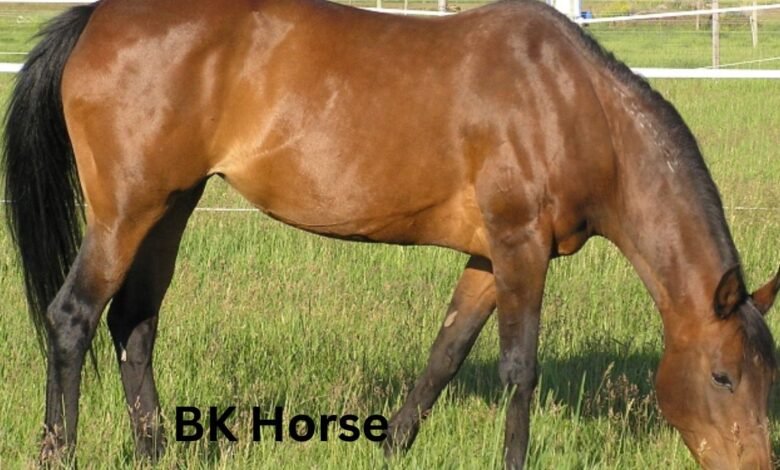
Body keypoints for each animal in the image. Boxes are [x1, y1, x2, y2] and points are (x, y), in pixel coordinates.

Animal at [3, 0, 778, 468]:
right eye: (723, 375)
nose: (757, 463)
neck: (571, 102)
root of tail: (99, 18)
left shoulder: (487, 257)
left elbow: (445, 355)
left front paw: (393, 446)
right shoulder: (520, 246)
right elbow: (518, 368)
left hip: (171, 206)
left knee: (134, 323)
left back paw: (156, 449)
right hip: (125, 212)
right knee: (73, 318)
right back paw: (59, 451)